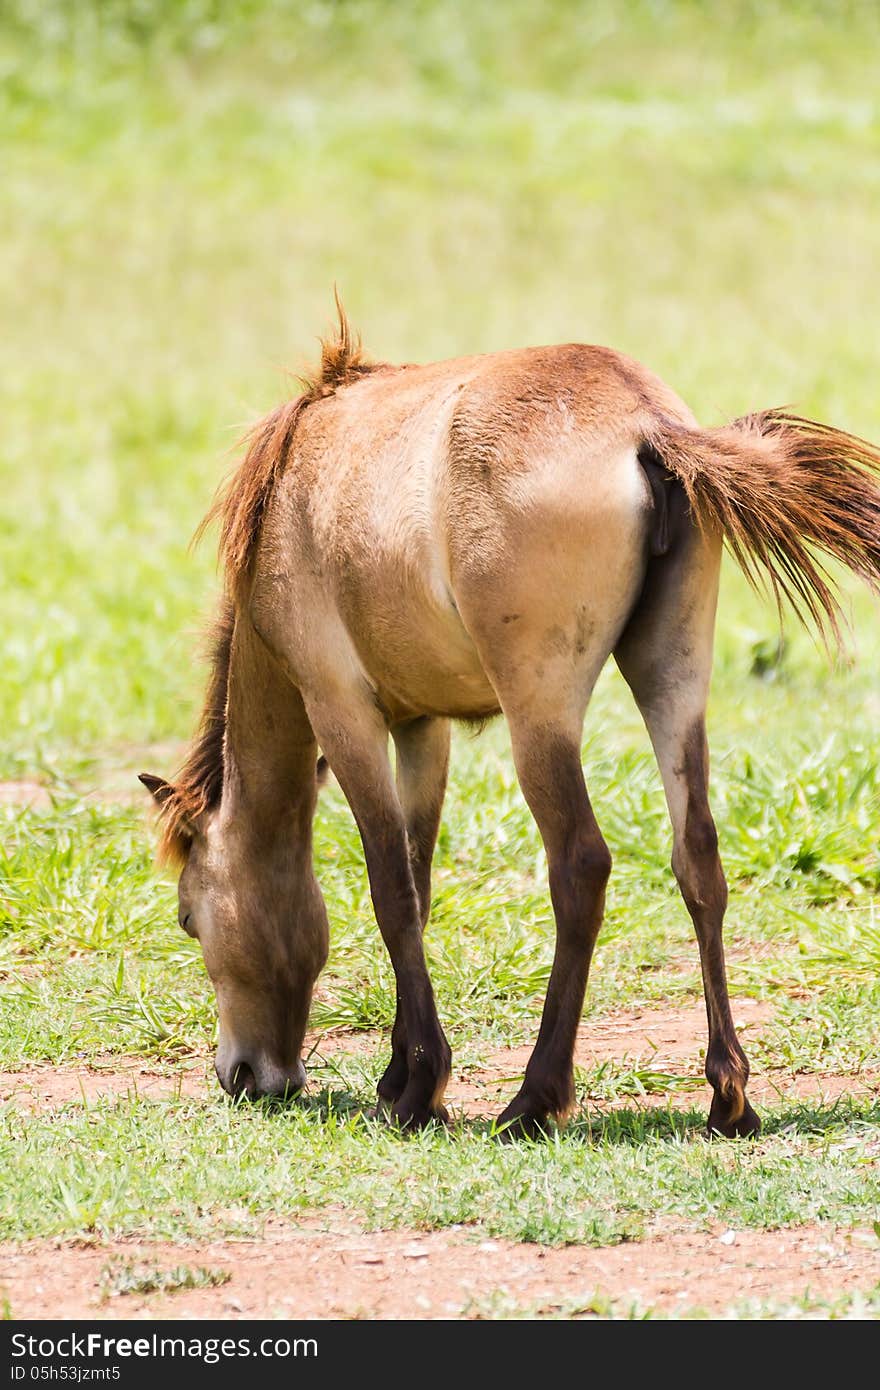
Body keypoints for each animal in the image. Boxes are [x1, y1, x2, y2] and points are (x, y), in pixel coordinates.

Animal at [137, 309, 878, 1134]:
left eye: (189, 919)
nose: (241, 1075)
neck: (297, 483)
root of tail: (645, 425)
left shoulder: (343, 712)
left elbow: (391, 889)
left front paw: (419, 1087)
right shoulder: (420, 727)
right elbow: (420, 885)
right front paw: (400, 1075)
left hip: (539, 715)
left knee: (580, 865)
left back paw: (534, 1097)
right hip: (673, 682)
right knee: (699, 860)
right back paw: (728, 1094)